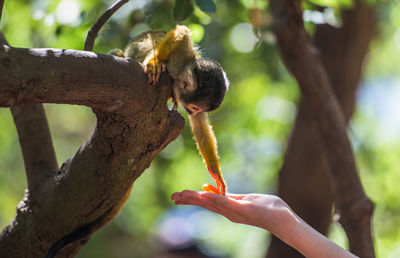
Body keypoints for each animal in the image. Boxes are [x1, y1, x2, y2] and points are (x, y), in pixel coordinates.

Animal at [110, 26, 228, 195]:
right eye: (194, 107)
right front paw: (155, 62)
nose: (193, 113)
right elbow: (182, 32)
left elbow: (199, 126)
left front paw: (216, 173)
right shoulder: (179, 60)